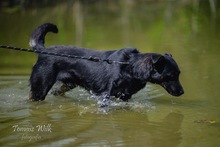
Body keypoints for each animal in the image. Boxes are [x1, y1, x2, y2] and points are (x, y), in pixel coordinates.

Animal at [28, 23, 184, 102]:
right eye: (171, 76)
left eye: (178, 74)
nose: (182, 92)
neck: (131, 67)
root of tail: (43, 51)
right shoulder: (106, 96)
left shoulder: (124, 96)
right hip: (40, 88)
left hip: (67, 85)